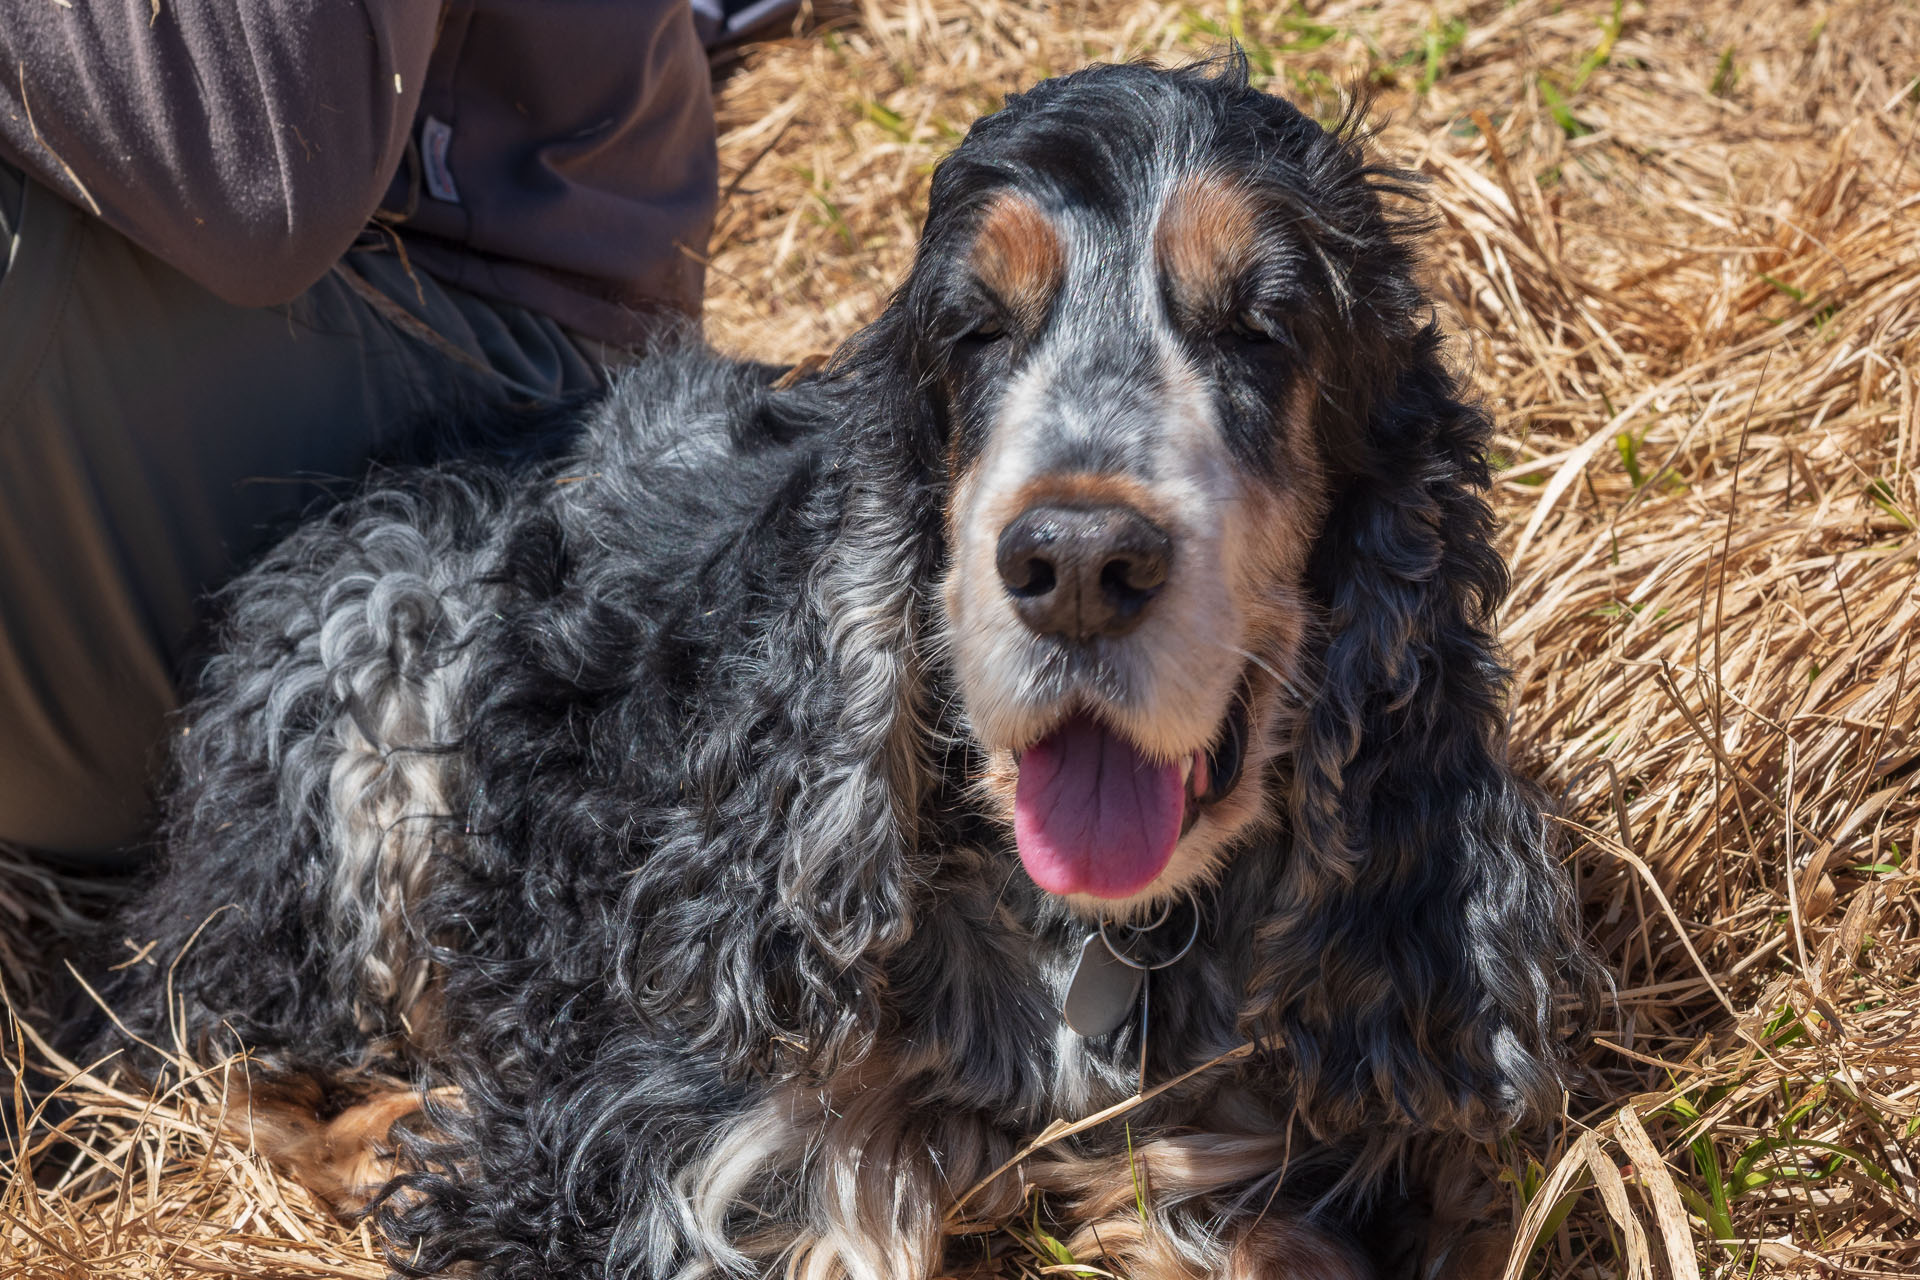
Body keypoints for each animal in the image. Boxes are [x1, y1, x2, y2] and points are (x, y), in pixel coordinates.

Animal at [105, 57, 1605, 1280]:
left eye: (1263, 326)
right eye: (975, 330)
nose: (1076, 561)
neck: (1087, 946)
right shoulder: (661, 1133)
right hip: (379, 679)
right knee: (211, 1027)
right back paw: (385, 1129)